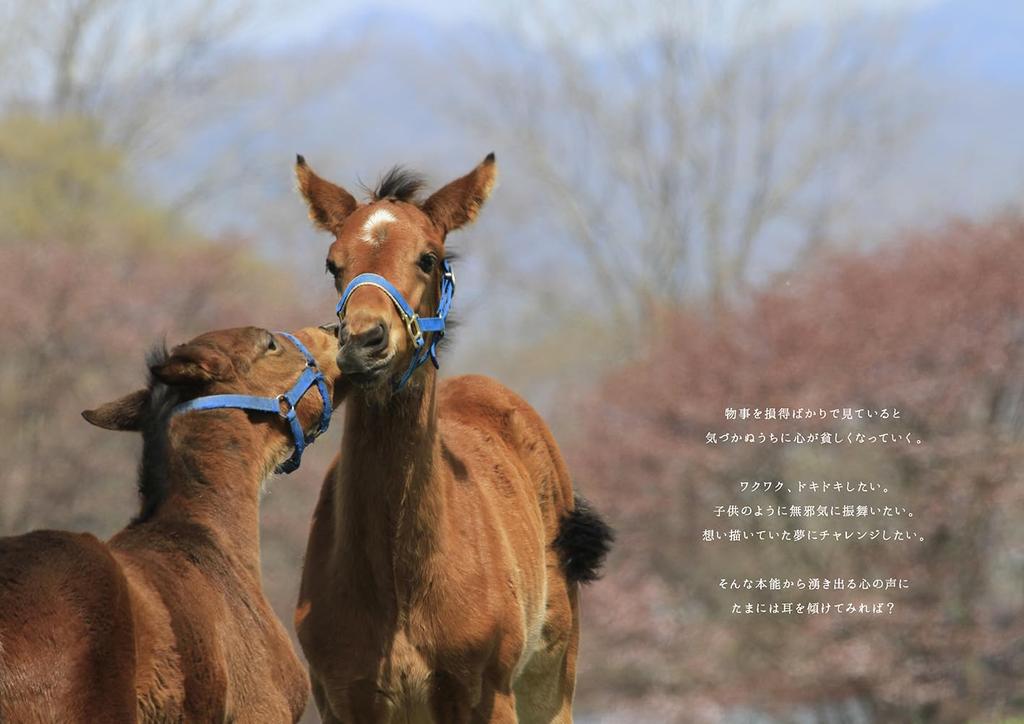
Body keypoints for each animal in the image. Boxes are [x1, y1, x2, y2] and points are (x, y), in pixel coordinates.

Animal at [293, 154, 614, 723]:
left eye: (429, 257)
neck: (400, 584)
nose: (365, 342)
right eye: (333, 264)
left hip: (551, 682)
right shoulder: (344, 698)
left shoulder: (484, 694)